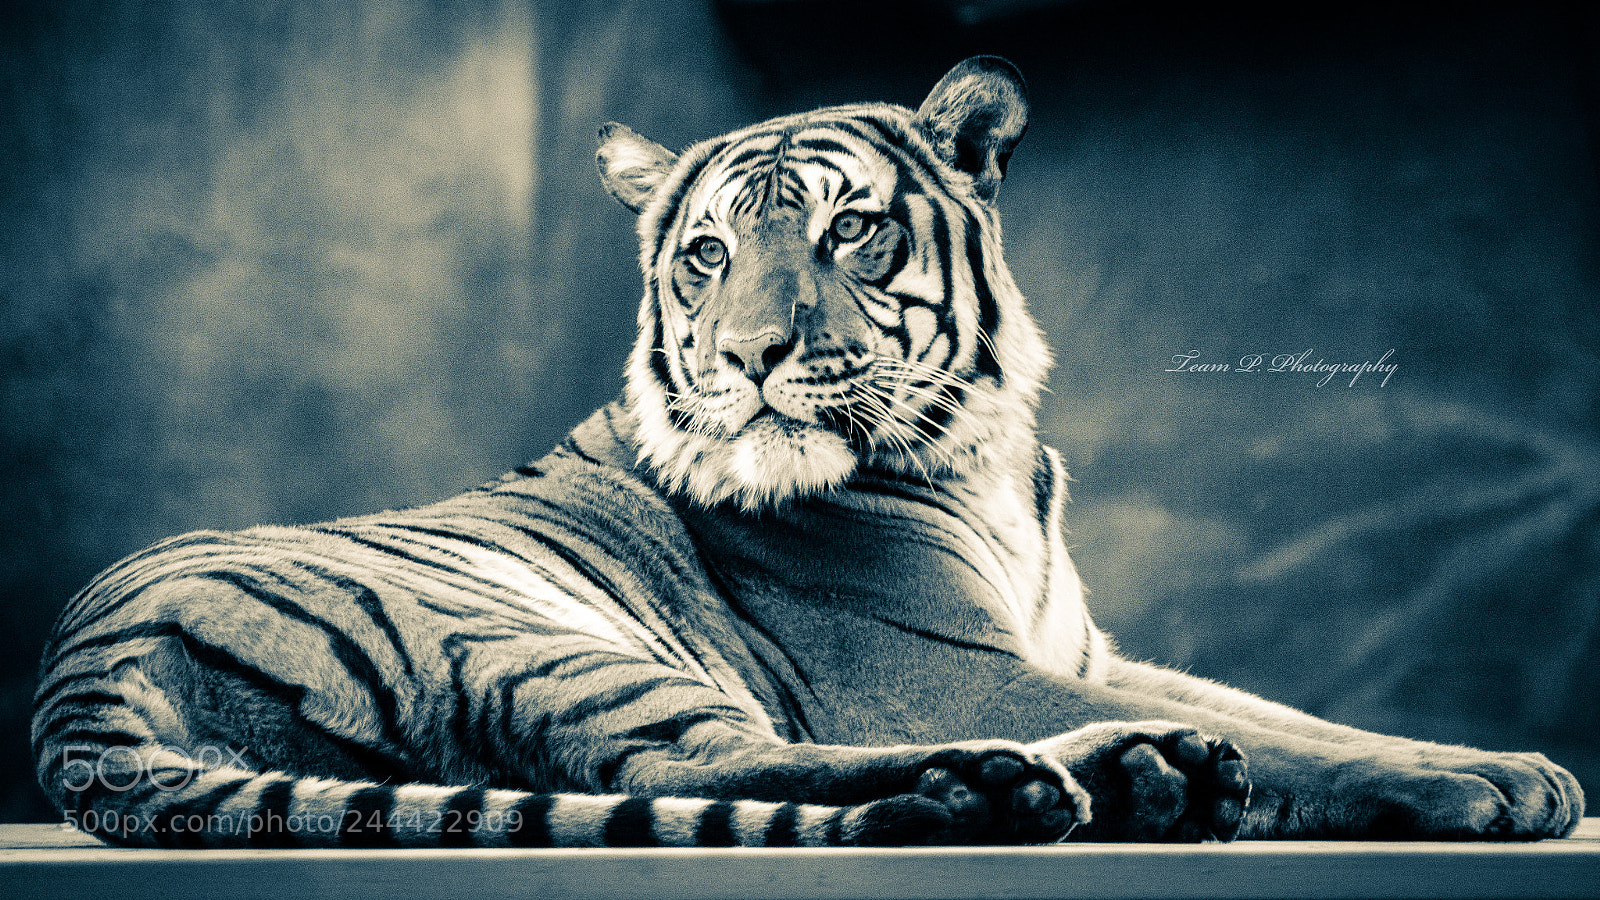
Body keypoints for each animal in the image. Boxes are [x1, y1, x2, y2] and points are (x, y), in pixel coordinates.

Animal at [33, 57, 1582, 850]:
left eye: (853, 230)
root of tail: (76, 687)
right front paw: (1489, 786)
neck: (987, 458)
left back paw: (1125, 778)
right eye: (706, 254)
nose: (752, 355)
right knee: (713, 762)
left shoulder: (1082, 649)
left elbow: (1300, 715)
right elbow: (1296, 739)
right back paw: (1047, 786)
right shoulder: (937, 666)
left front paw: (1505, 760)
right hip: (538, 633)